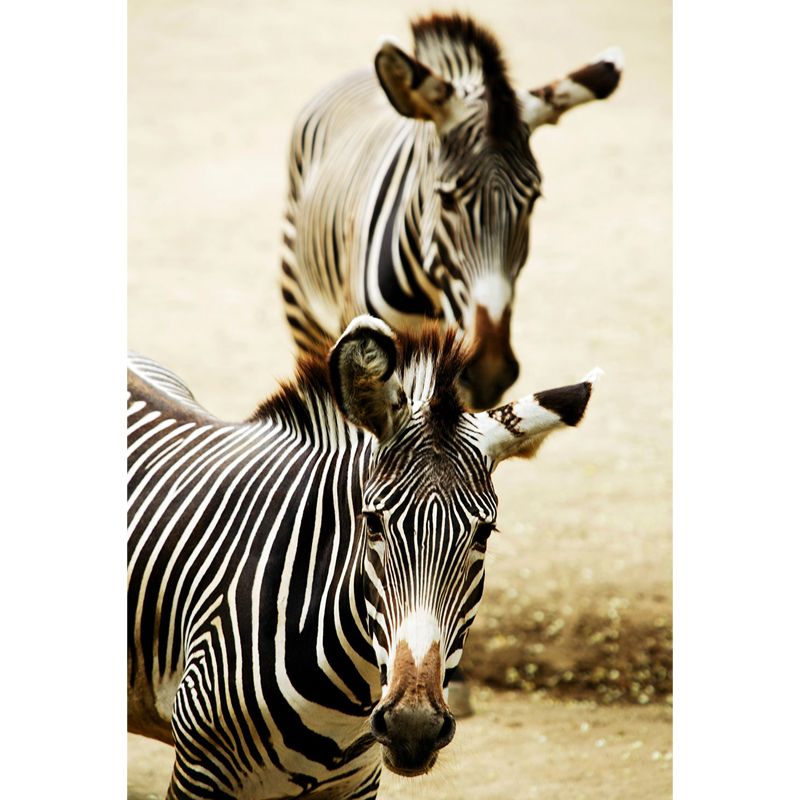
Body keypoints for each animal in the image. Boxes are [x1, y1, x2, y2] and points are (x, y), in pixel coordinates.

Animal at [128, 315, 599, 799]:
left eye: (484, 533)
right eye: (372, 524)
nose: (413, 728)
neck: (341, 702)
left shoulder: (356, 784)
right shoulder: (198, 776)